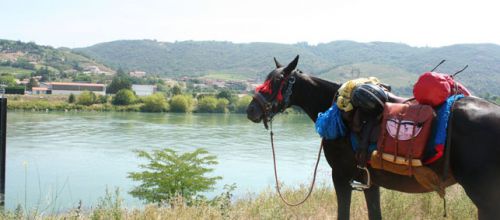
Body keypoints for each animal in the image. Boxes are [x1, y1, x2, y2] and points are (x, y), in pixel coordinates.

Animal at [245, 55, 500, 220]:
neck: (338, 109)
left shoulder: (341, 177)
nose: (250, 110)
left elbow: (343, 214)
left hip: (484, 198)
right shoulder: (370, 182)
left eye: (276, 81)